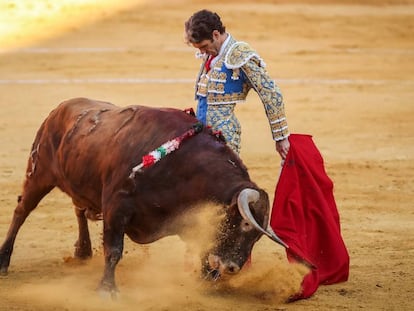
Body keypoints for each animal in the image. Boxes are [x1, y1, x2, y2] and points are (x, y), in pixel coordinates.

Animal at [0, 98, 284, 298]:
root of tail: (58, 109)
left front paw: (205, 280)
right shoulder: (116, 207)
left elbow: (204, 247)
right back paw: (4, 261)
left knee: (78, 209)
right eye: (245, 224)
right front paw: (107, 290)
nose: (233, 267)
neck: (181, 167)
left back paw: (83, 251)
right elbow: (114, 250)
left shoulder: (187, 216)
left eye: (258, 236)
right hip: (39, 174)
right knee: (21, 211)